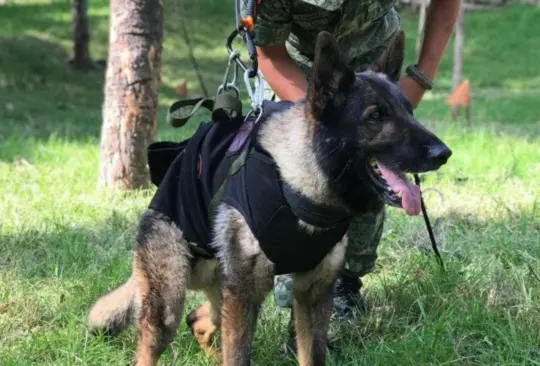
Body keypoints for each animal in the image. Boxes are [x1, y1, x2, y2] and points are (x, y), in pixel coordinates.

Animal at [88, 30, 452, 364]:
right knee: (163, 336)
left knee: (199, 320)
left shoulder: (313, 296)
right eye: (376, 116)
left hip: (222, 295)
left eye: (409, 110)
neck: (301, 186)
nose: (443, 154)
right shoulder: (247, 296)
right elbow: (238, 357)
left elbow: (311, 355)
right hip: (172, 303)